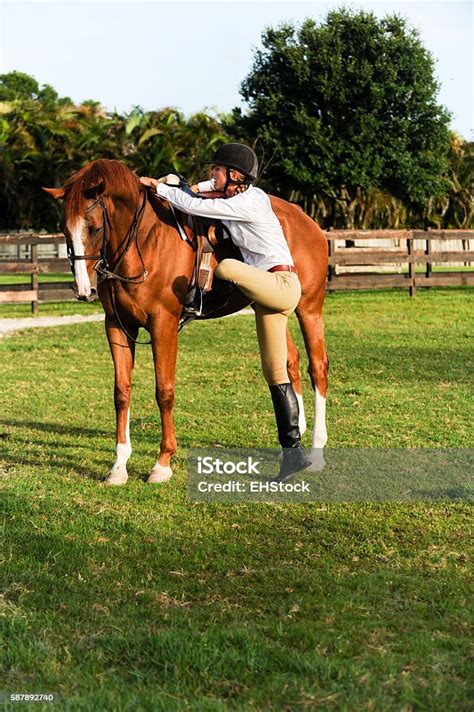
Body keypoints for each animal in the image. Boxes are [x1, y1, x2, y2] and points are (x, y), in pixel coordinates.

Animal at [44, 160, 328, 484]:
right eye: (64, 229)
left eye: (94, 228)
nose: (83, 289)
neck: (144, 242)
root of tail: (305, 219)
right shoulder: (117, 325)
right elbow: (121, 392)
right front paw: (119, 466)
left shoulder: (163, 325)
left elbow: (164, 391)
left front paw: (162, 463)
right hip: (266, 308)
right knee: (288, 362)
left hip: (308, 309)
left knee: (317, 367)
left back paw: (317, 451)